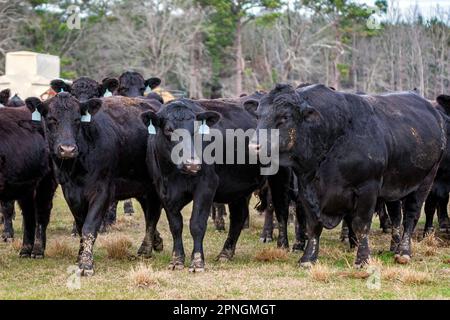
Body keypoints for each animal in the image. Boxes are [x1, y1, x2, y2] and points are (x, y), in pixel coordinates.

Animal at [0, 105, 57, 258]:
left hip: (46, 182)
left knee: (41, 213)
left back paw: (37, 250)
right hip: (26, 188)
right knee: (29, 214)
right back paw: (26, 249)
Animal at [24, 93, 163, 276]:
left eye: (77, 120)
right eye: (51, 119)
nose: (67, 149)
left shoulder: (102, 192)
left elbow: (89, 227)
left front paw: (86, 264)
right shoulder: (70, 193)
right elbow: (80, 225)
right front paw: (80, 256)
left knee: (153, 213)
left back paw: (145, 249)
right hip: (141, 187)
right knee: (149, 212)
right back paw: (156, 242)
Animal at [141, 99, 292, 272]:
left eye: (196, 130)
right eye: (168, 130)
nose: (192, 164)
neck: (173, 175)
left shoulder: (206, 186)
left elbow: (197, 224)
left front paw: (197, 261)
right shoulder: (163, 191)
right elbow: (176, 225)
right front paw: (176, 260)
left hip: (280, 177)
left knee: (281, 210)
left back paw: (282, 247)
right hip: (238, 188)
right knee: (238, 217)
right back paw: (226, 253)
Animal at [250, 84, 446, 268]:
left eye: (284, 117)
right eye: (258, 116)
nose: (254, 146)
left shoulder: (368, 188)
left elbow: (361, 225)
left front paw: (363, 259)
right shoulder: (306, 190)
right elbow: (313, 225)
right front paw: (308, 258)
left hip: (426, 180)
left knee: (411, 216)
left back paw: (404, 252)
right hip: (396, 187)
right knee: (396, 215)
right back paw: (395, 247)